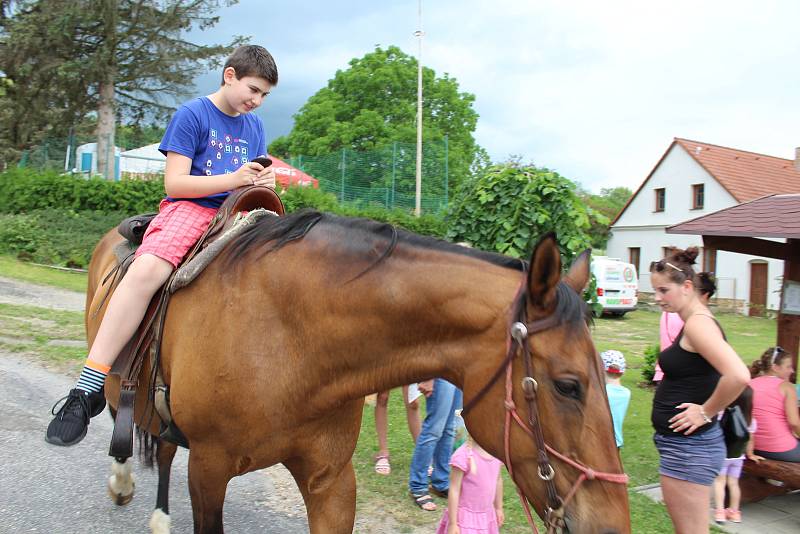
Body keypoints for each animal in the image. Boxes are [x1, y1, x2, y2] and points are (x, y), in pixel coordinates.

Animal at [89, 211, 632, 532]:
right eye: (568, 386)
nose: (613, 524)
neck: (290, 337)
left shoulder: (332, 481)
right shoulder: (208, 471)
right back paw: (121, 481)